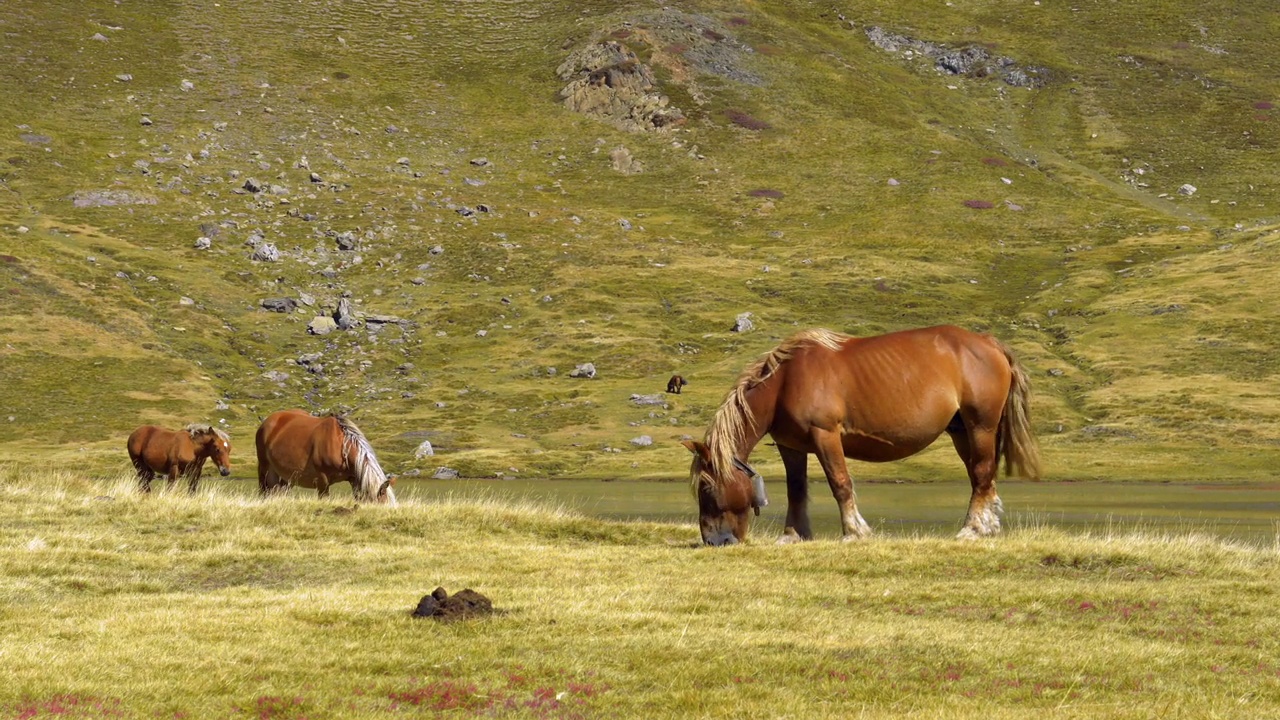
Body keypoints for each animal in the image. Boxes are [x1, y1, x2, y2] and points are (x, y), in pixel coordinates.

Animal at [257, 409, 396, 504]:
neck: (341, 445)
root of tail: (267, 421)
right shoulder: (322, 481)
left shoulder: (354, 479)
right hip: (264, 468)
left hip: (285, 477)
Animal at [686, 325, 1034, 543]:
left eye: (706, 487)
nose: (714, 540)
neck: (784, 382)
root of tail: (988, 342)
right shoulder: (791, 447)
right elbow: (796, 490)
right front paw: (793, 535)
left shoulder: (825, 437)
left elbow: (840, 484)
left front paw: (854, 531)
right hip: (962, 431)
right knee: (981, 478)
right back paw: (987, 526)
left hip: (980, 427)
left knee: (982, 473)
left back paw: (973, 528)